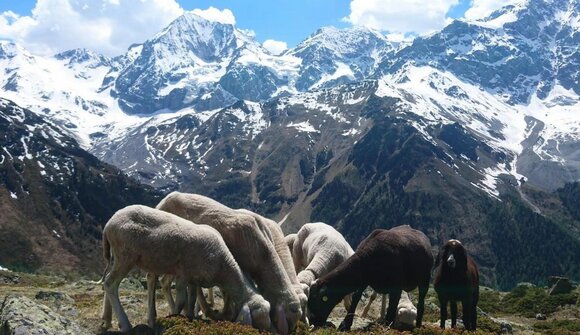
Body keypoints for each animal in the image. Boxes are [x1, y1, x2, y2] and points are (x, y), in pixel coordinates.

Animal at [100, 205, 272, 334]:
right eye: (259, 319)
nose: (270, 331)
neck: (223, 265)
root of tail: (109, 223)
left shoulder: (194, 279)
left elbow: (192, 299)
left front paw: (190, 318)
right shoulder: (183, 274)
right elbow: (182, 300)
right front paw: (174, 317)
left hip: (121, 256)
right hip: (125, 255)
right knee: (110, 283)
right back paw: (125, 324)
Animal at [156, 192, 304, 335]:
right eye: (289, 318)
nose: (292, 330)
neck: (263, 252)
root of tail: (165, 199)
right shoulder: (239, 265)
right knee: (164, 281)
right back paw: (175, 311)